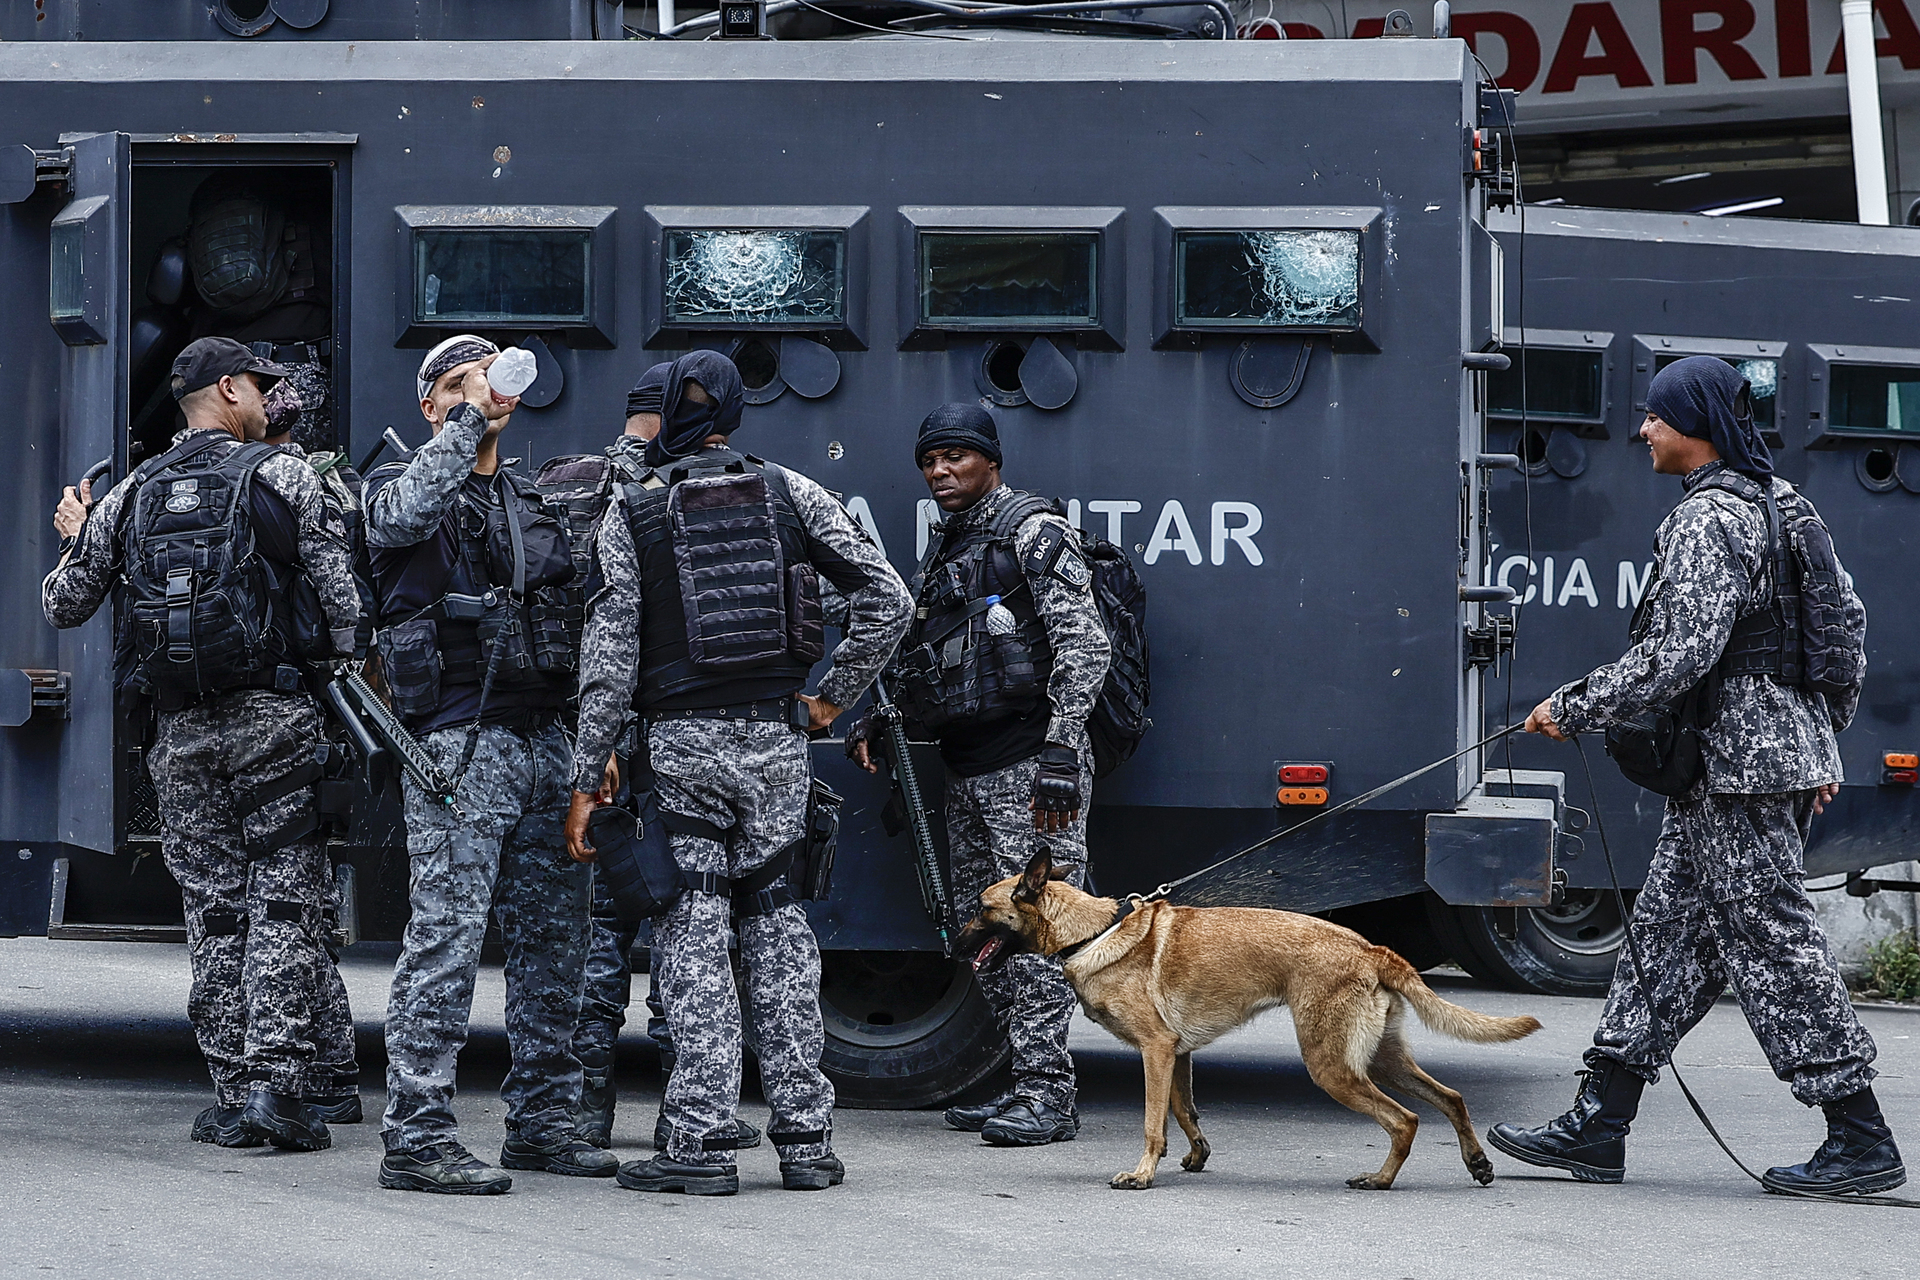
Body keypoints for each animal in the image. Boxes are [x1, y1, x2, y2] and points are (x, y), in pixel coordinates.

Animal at [954, 848, 1542, 1191]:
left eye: (981, 908)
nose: (950, 947)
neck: (1092, 931)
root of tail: (1373, 949)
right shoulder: (1176, 1055)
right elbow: (1184, 1112)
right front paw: (1195, 1156)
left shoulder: (1155, 1051)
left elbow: (1152, 1122)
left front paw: (1143, 1174)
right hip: (1380, 1060)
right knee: (1450, 1099)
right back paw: (1477, 1163)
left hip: (1333, 1068)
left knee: (1405, 1120)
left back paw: (1380, 1180)